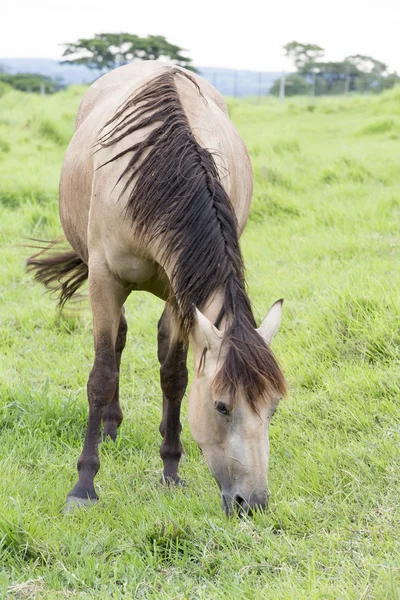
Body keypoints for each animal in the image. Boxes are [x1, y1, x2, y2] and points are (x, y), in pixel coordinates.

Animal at [28, 61, 286, 516]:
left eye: (273, 408)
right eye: (222, 406)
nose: (252, 502)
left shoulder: (179, 291)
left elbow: (175, 377)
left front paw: (170, 470)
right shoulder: (104, 280)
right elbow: (101, 375)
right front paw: (84, 486)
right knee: (116, 342)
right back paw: (110, 428)